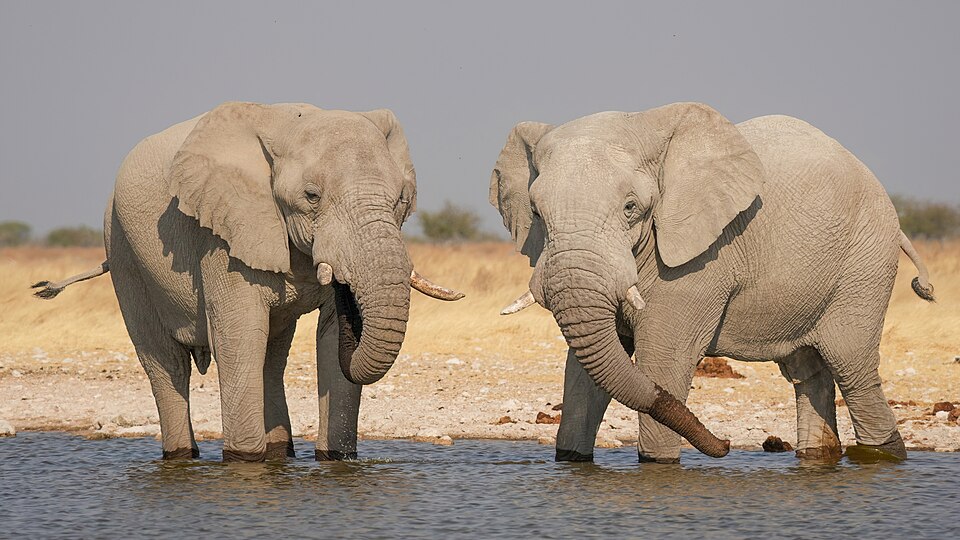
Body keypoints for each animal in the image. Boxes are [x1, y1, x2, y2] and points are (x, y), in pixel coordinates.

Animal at [34, 102, 463, 461]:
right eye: (311, 196)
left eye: (401, 199)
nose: (344, 289)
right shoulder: (221, 233)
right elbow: (238, 333)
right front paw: (243, 461)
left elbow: (326, 341)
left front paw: (336, 460)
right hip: (122, 247)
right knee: (166, 362)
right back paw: (182, 454)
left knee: (269, 357)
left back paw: (279, 452)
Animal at [491, 102, 934, 463]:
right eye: (536, 212)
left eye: (631, 208)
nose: (725, 445)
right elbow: (586, 375)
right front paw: (572, 460)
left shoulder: (700, 262)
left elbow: (662, 361)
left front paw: (659, 464)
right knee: (809, 373)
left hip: (865, 261)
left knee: (852, 368)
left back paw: (885, 455)